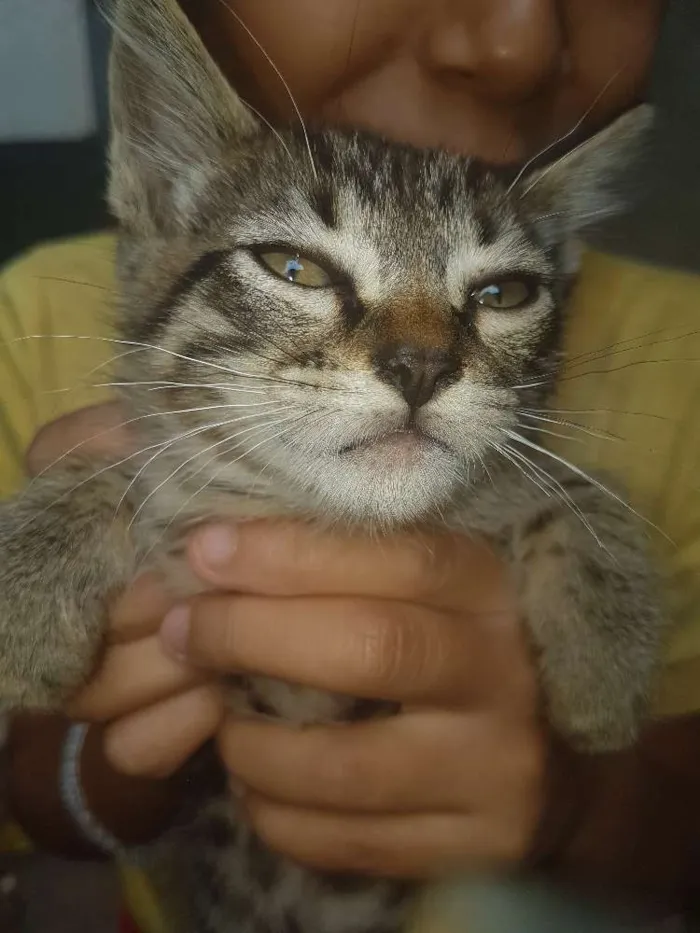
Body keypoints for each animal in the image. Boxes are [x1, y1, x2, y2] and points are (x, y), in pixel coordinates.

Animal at [0, 1, 660, 932]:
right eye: (296, 268)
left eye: (503, 295)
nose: (420, 366)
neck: (330, 517)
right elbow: (128, 462)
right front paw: (30, 578)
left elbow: (567, 487)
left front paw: (604, 660)